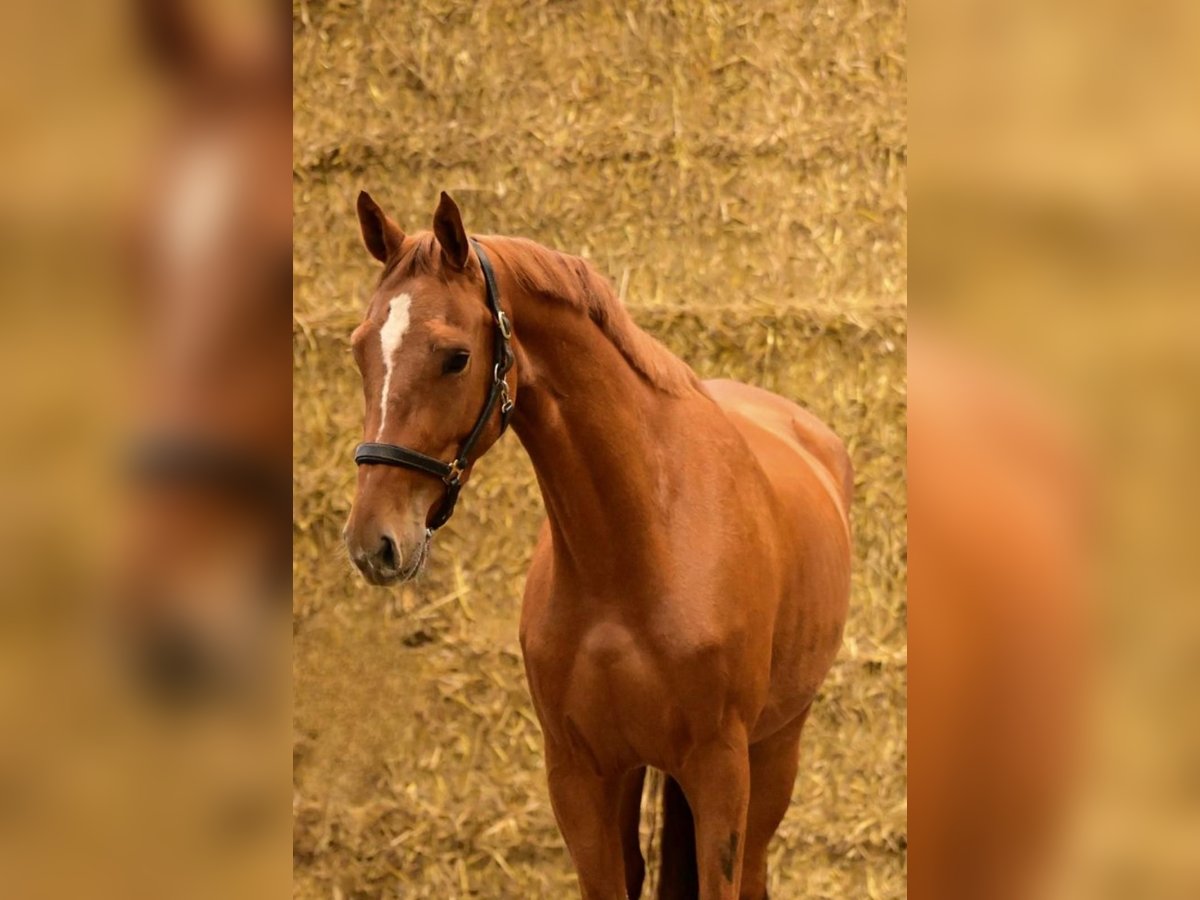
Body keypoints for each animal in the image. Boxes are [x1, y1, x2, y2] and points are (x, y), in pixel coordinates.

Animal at [343, 191, 853, 900]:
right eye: (360, 350)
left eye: (455, 356)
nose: (375, 543)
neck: (636, 552)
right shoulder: (579, 775)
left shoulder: (721, 771)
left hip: (776, 750)